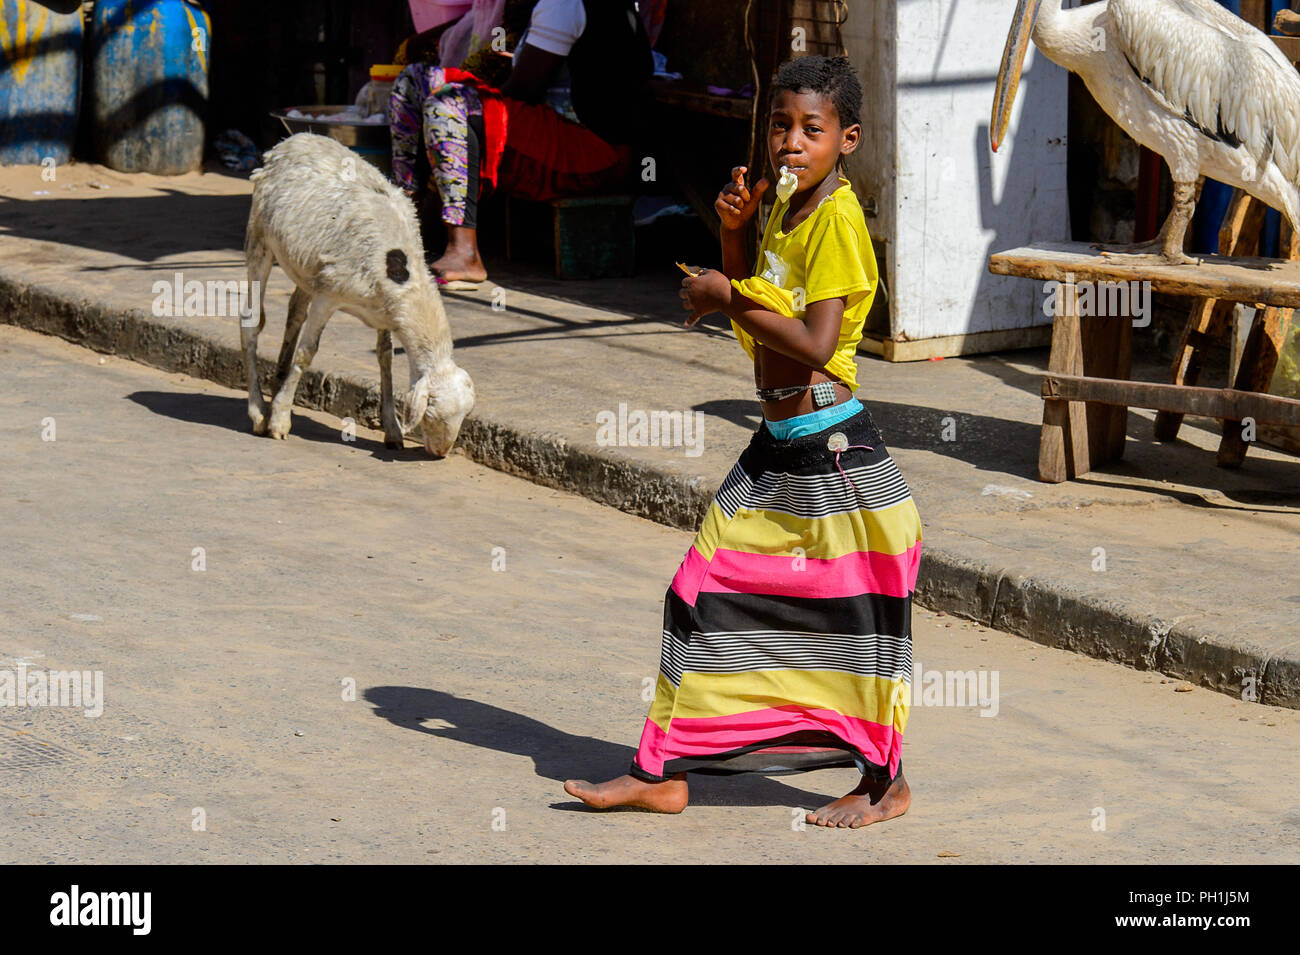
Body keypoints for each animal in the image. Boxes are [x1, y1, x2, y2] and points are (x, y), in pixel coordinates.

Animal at [241, 132, 475, 457]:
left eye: (465, 416)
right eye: (431, 414)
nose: (440, 453)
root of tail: (293, 140)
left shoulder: (385, 313)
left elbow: (385, 359)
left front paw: (393, 431)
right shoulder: (329, 295)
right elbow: (307, 351)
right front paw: (279, 421)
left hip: (307, 270)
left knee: (294, 312)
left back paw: (276, 386)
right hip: (260, 238)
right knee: (252, 321)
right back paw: (259, 411)